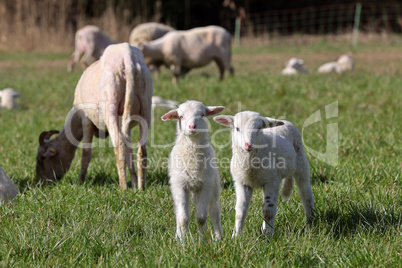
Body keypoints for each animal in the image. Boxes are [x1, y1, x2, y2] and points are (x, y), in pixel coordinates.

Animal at [36, 43, 153, 191]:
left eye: (42, 158)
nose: (41, 183)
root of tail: (127, 57)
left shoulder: (86, 119)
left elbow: (86, 152)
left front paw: (81, 182)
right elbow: (129, 151)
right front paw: (133, 182)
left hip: (110, 107)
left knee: (119, 144)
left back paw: (123, 188)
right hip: (146, 105)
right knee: (141, 149)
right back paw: (141, 188)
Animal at [160, 100, 225, 241]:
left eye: (202, 115)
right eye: (181, 116)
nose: (192, 127)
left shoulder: (205, 186)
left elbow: (201, 218)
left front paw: (202, 241)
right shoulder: (180, 185)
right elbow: (183, 219)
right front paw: (182, 242)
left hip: (213, 186)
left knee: (214, 212)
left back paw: (219, 237)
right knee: (179, 213)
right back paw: (178, 236)